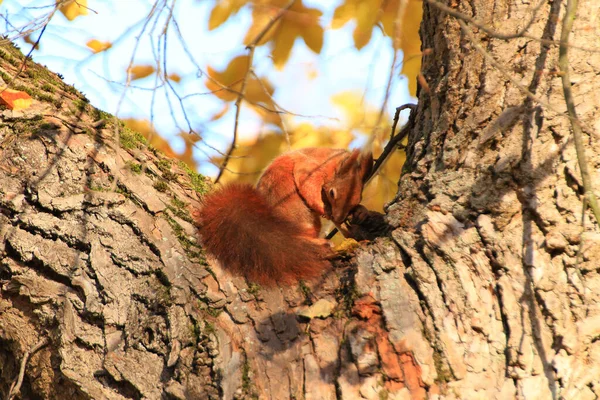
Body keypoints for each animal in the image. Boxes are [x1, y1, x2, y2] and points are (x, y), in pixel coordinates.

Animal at [197, 148, 372, 286]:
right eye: (332, 193)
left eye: (359, 198)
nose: (338, 217)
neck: (332, 163)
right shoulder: (309, 169)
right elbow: (309, 187)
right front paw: (323, 209)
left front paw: (360, 212)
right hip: (296, 212)